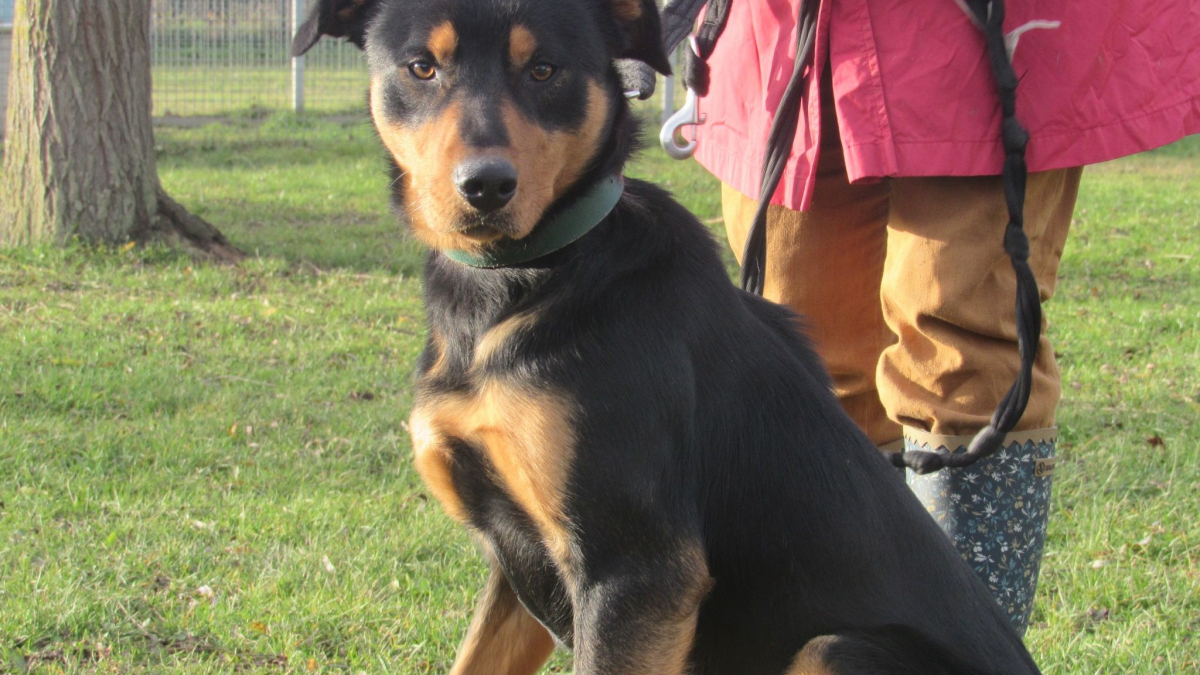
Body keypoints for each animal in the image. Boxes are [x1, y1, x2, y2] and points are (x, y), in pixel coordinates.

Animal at [295, 2, 1046, 667]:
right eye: (421, 67)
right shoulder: (517, 560)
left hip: (834, 648)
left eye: (545, 69)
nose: (485, 186)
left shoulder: (635, 568)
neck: (525, 278)